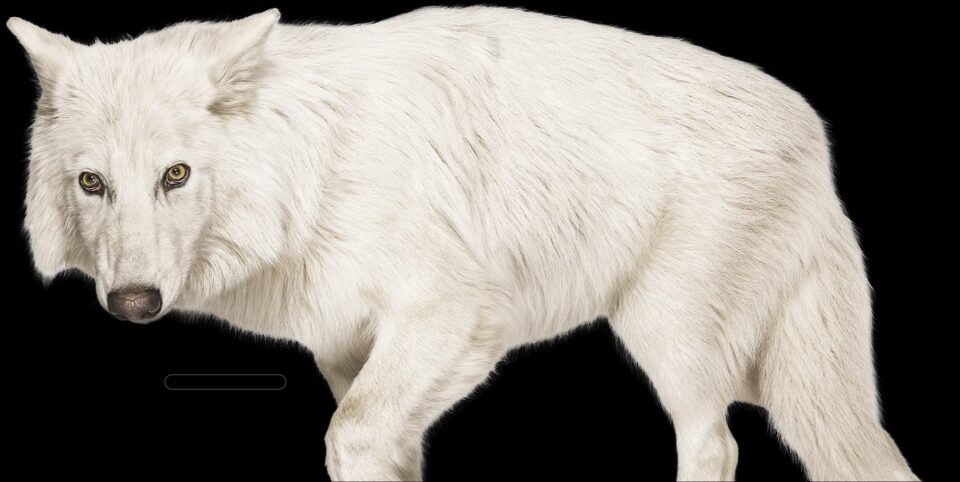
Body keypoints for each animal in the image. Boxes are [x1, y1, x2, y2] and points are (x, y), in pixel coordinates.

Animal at [8, 6, 917, 481]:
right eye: (92, 184)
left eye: (176, 175)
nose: (133, 303)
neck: (311, 172)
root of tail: (813, 132)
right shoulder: (349, 355)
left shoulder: (449, 317)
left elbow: (351, 438)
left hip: (670, 337)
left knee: (713, 439)